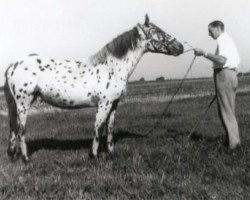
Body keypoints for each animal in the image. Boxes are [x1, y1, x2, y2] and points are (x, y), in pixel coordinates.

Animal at [4, 14, 184, 162]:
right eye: (158, 31)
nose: (180, 47)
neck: (112, 67)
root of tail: (13, 65)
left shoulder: (114, 104)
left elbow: (109, 128)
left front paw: (111, 153)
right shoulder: (104, 104)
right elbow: (98, 127)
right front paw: (94, 155)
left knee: (13, 127)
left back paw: (13, 155)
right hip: (23, 103)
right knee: (21, 129)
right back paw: (26, 158)